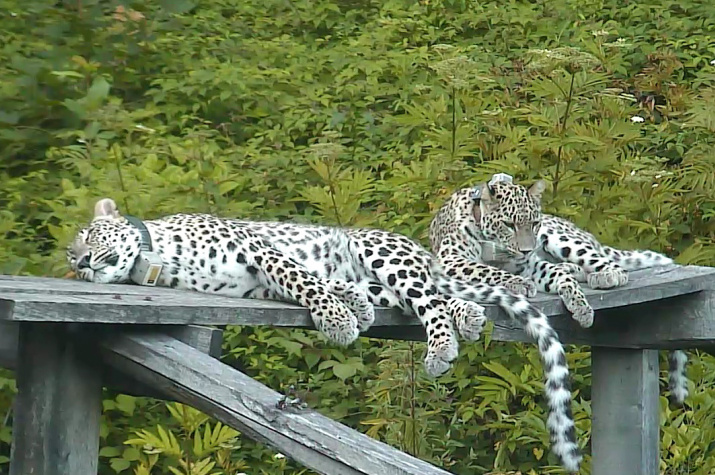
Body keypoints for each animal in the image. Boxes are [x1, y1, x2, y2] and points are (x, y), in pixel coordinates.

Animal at [67, 197, 584, 472]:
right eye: (73, 259)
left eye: (89, 238)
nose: (82, 263)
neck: (154, 258)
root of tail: (423, 250)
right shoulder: (255, 285)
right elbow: (309, 284)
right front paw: (347, 310)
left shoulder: (259, 249)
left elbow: (301, 279)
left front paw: (335, 321)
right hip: (385, 279)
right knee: (427, 296)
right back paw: (458, 315)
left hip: (381, 253)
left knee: (430, 298)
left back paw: (442, 342)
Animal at [428, 173, 692, 404]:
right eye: (509, 224)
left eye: (533, 223)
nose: (527, 250)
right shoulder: (450, 262)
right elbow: (484, 270)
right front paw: (519, 284)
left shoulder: (530, 264)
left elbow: (551, 272)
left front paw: (580, 304)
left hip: (560, 238)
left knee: (609, 264)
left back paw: (603, 275)